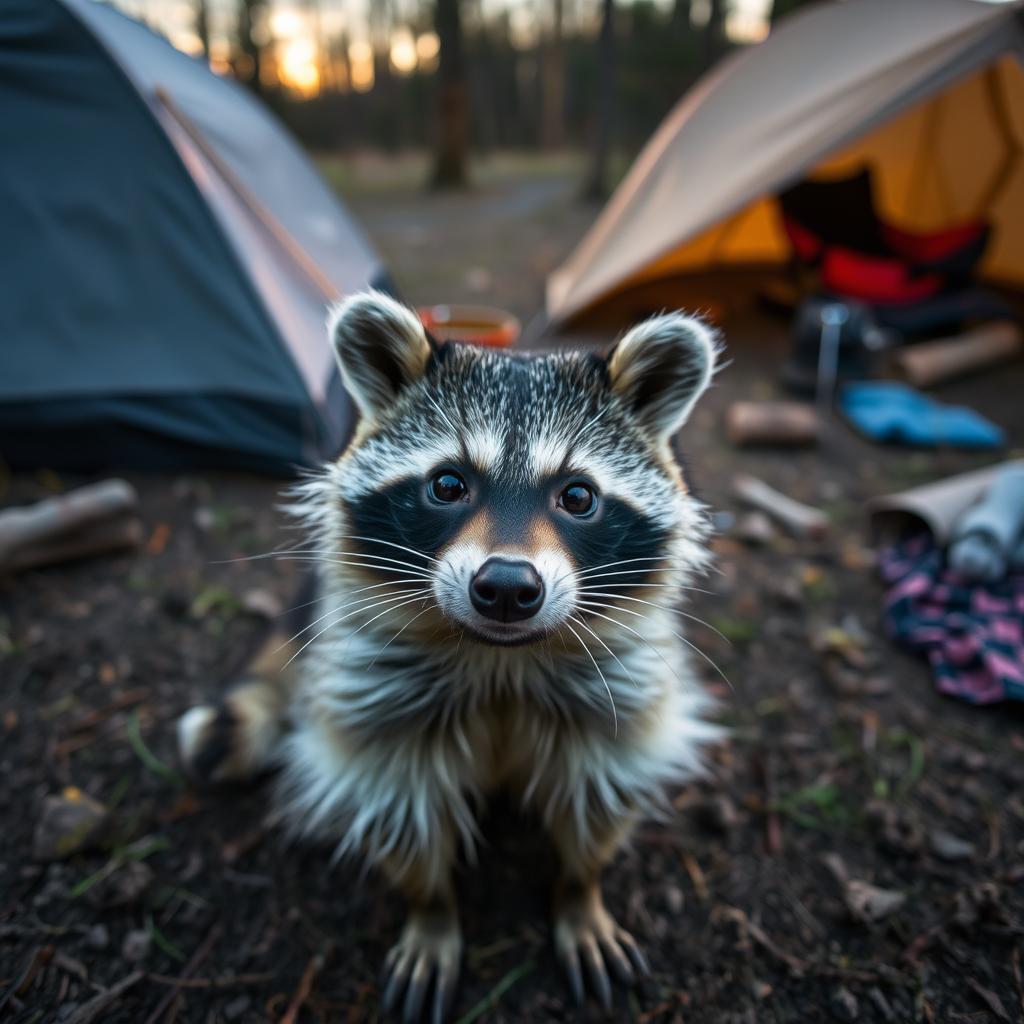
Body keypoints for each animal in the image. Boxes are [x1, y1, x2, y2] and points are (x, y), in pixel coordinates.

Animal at [178, 291, 722, 1022]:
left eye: (577, 496)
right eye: (447, 485)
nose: (508, 588)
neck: (501, 660)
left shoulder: (615, 696)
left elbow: (599, 793)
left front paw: (581, 893)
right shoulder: (377, 701)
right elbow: (402, 808)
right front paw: (431, 912)